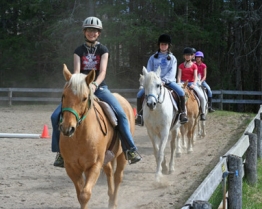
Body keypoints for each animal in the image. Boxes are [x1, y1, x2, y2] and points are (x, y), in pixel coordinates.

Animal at [58, 64, 134, 209]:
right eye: (63, 95)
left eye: (84, 98)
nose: (67, 129)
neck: (79, 137)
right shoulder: (71, 167)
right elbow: (80, 194)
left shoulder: (94, 166)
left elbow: (85, 195)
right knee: (109, 172)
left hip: (122, 155)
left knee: (118, 177)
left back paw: (113, 203)